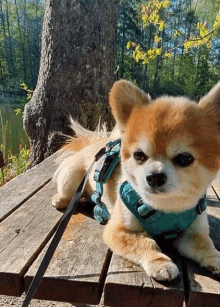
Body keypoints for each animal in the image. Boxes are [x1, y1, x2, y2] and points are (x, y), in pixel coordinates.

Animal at [52, 80, 220, 282]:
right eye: (139, 155)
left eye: (184, 159)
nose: (154, 176)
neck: (166, 207)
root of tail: (95, 146)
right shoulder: (118, 230)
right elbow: (146, 243)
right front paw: (160, 263)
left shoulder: (193, 232)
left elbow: (205, 245)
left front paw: (215, 259)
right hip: (71, 178)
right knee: (67, 191)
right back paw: (60, 199)